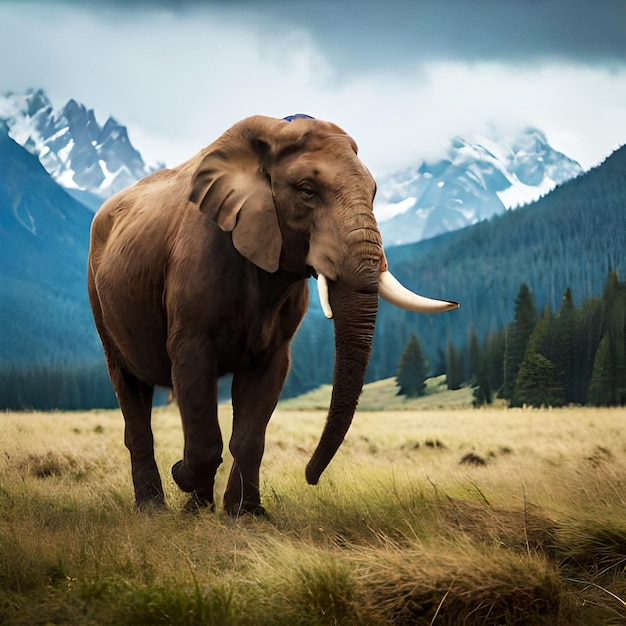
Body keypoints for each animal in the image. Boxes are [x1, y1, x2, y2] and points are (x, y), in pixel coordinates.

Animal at [86, 114, 458, 516]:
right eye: (307, 191)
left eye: (374, 193)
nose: (310, 477)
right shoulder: (194, 276)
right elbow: (192, 371)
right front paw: (184, 478)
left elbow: (261, 398)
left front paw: (245, 515)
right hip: (98, 295)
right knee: (130, 389)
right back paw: (153, 509)